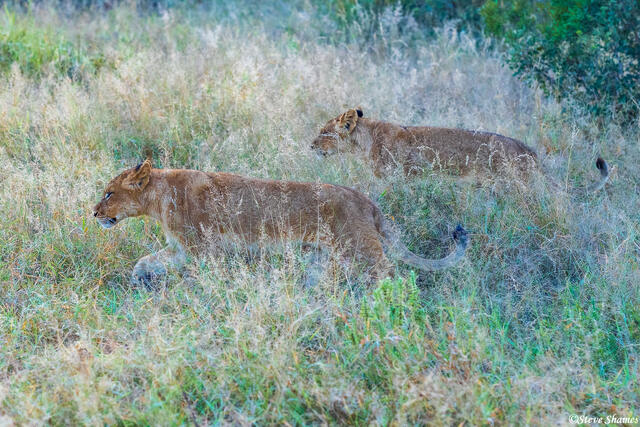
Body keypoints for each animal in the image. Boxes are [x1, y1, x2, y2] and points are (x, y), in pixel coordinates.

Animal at [93, 160, 469, 285]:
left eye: (109, 193)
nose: (93, 213)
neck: (159, 197)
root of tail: (366, 200)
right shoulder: (181, 249)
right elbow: (147, 260)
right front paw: (138, 279)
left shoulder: (203, 249)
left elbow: (203, 277)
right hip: (321, 255)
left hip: (360, 246)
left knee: (390, 273)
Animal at [311, 107, 609, 191]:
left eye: (324, 133)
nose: (310, 145)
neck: (366, 139)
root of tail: (527, 148)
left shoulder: (400, 179)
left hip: (514, 185)